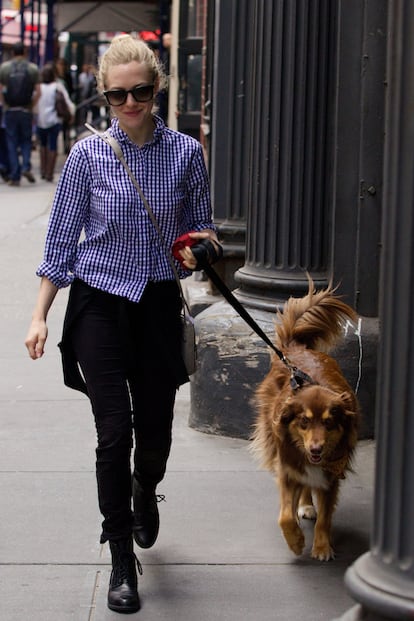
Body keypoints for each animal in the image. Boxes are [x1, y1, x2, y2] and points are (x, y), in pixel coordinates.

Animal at [252, 280, 360, 560]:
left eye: (329, 422)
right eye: (304, 421)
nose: (316, 448)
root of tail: (296, 348)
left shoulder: (331, 477)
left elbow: (325, 518)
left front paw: (321, 546)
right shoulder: (288, 468)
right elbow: (284, 516)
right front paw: (296, 541)